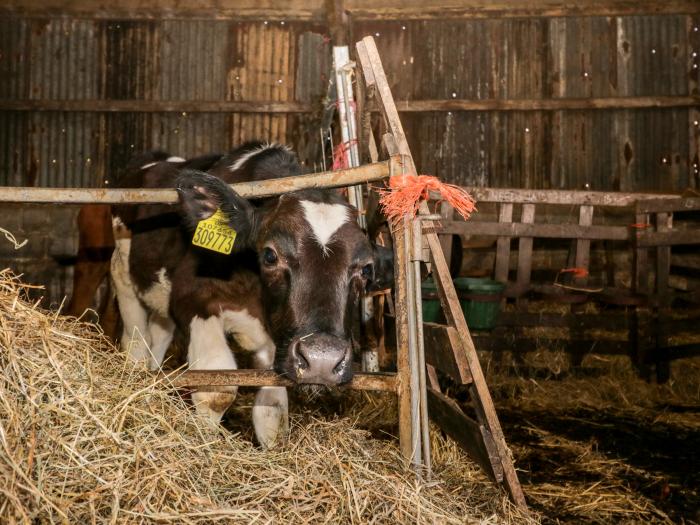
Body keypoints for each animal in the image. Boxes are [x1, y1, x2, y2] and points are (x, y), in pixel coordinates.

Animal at [112, 143, 392, 446]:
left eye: (366, 269)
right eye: (270, 255)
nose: (322, 360)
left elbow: (272, 413)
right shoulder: (191, 298)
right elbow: (216, 389)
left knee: (159, 333)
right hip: (122, 273)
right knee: (135, 339)